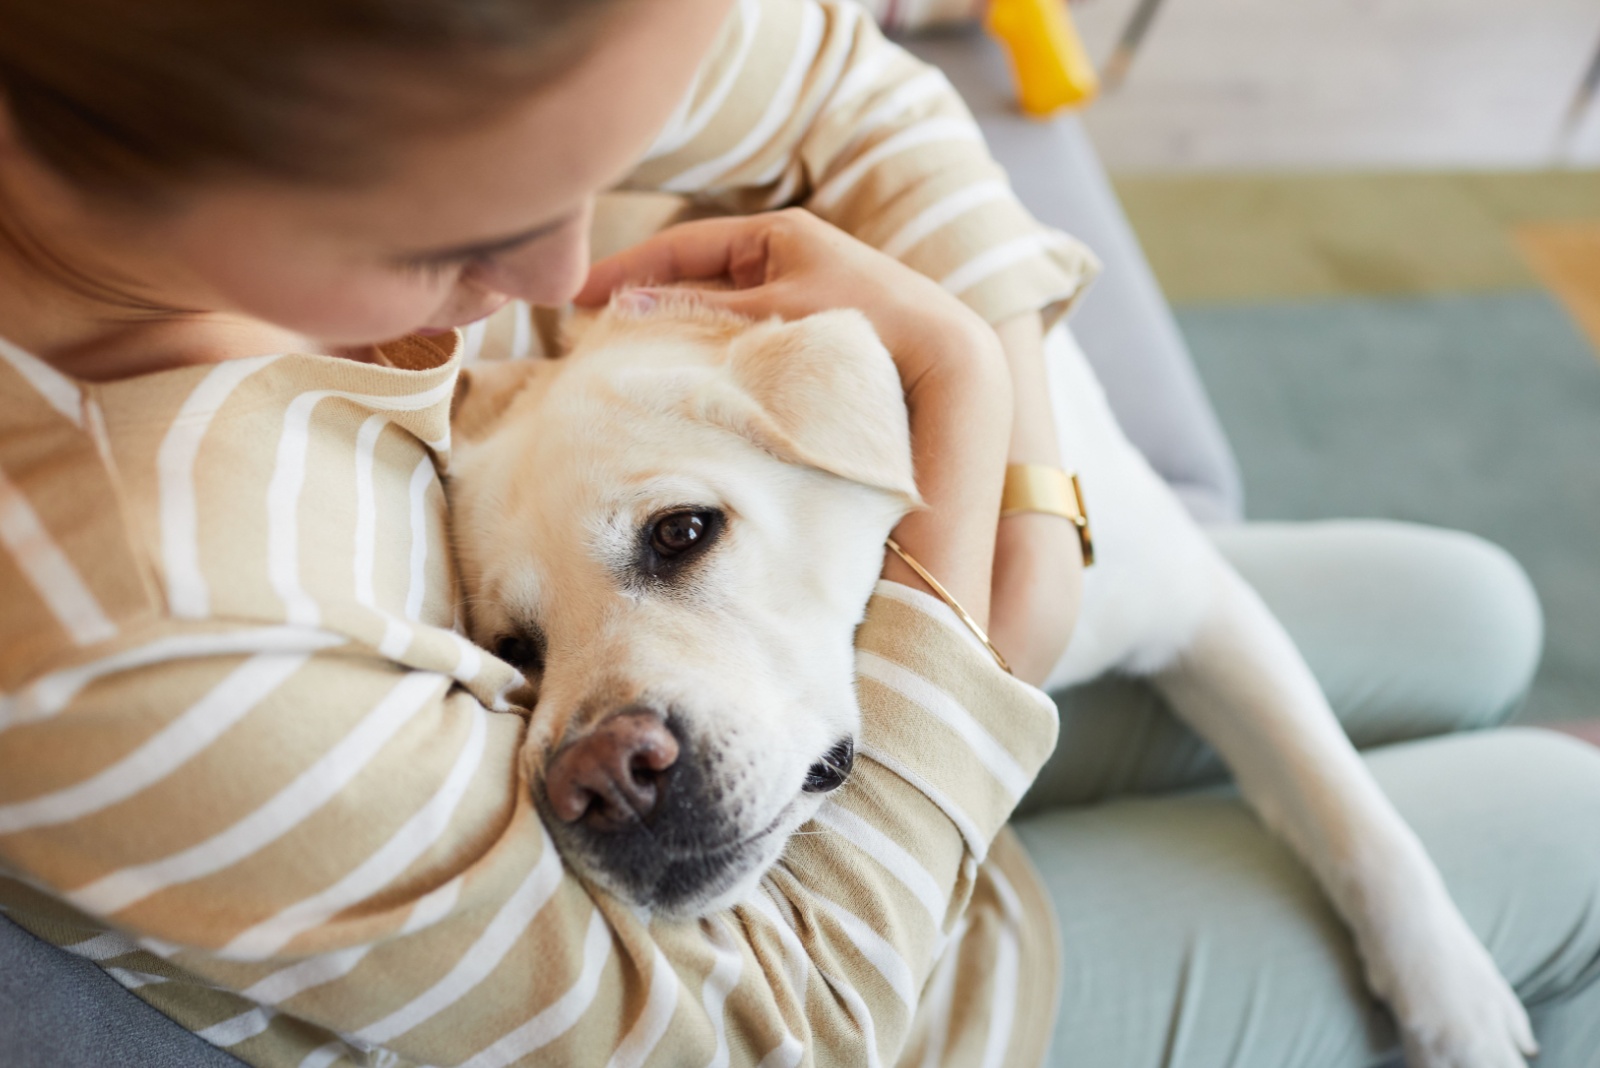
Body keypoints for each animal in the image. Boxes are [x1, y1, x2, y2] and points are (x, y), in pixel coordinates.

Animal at [451, 292, 1536, 1068]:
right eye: (515, 650)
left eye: (681, 531)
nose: (599, 779)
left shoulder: (1201, 610)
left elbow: (1346, 806)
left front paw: (1454, 998)